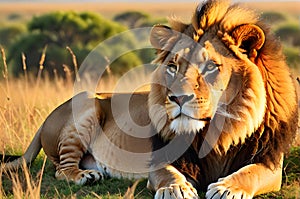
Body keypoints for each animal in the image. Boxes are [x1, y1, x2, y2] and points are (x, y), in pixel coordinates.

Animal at [1, 0, 298, 199]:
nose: (177, 98)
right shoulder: (161, 158)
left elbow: (252, 172)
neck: (220, 132)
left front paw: (228, 187)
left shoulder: (270, 162)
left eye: (210, 67)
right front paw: (175, 188)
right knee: (61, 169)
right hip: (86, 104)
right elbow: (167, 173)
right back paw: (86, 176)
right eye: (173, 67)